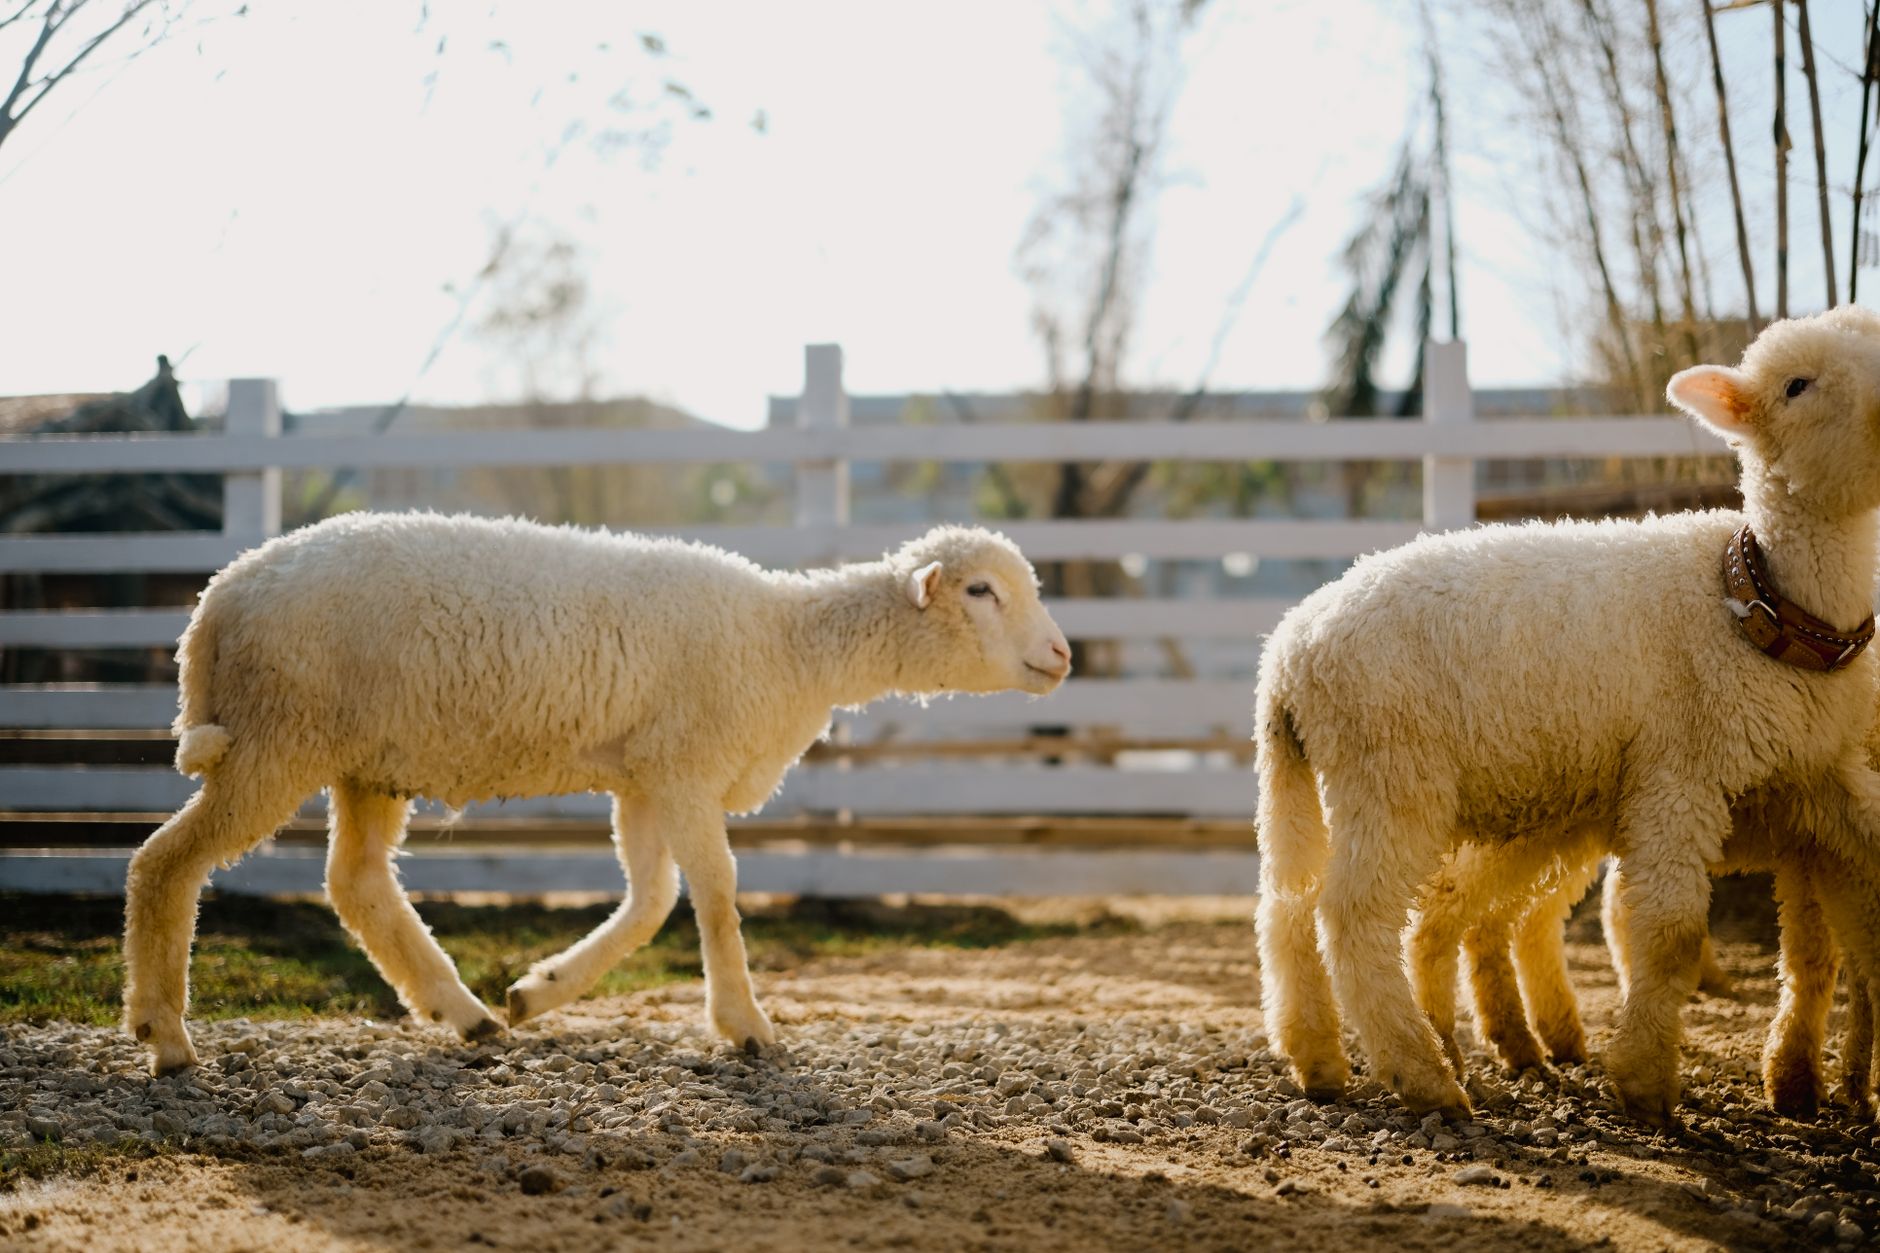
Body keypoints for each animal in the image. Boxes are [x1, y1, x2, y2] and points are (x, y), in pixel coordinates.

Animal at [122, 513, 1072, 1076]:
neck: (786, 643)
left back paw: (469, 1014)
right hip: (278, 735)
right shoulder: (685, 766)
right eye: (981, 590)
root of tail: (218, 598)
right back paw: (165, 1036)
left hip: (364, 758)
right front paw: (745, 1024)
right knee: (162, 865)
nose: (1062, 656)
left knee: (356, 883)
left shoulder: (647, 773)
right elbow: (715, 893)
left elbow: (651, 900)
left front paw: (539, 988)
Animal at [1255, 306, 1880, 1124]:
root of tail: (1289, 651)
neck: (1762, 603)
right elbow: (1670, 932)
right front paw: (1644, 1082)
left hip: (1340, 783)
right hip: (1391, 772)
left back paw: (1320, 1059)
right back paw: (1424, 1073)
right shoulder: (1679, 773)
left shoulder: (1823, 781)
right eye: (1796, 385)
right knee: (1352, 918)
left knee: (1291, 911)